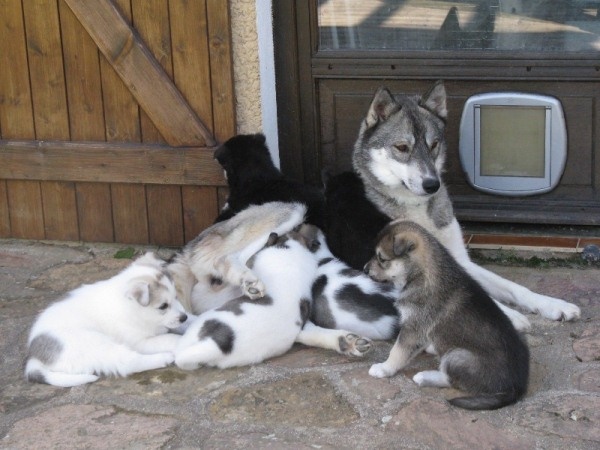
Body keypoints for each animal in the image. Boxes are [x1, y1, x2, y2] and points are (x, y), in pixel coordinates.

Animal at [24, 253, 189, 386]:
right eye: (163, 306)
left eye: (176, 297)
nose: (184, 317)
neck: (131, 308)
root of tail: (35, 355)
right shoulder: (139, 342)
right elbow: (170, 338)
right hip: (95, 344)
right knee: (128, 362)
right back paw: (164, 358)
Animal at [328, 81, 580, 326]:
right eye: (401, 147)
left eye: (433, 145)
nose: (432, 184)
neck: (416, 209)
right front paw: (510, 316)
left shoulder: (457, 260)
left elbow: (514, 287)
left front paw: (552, 304)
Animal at [366, 221, 528, 412]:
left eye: (382, 259)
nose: (364, 269)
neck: (421, 273)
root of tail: (515, 389)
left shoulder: (413, 328)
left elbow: (397, 351)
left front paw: (384, 368)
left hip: (457, 355)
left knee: (452, 380)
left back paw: (425, 376)